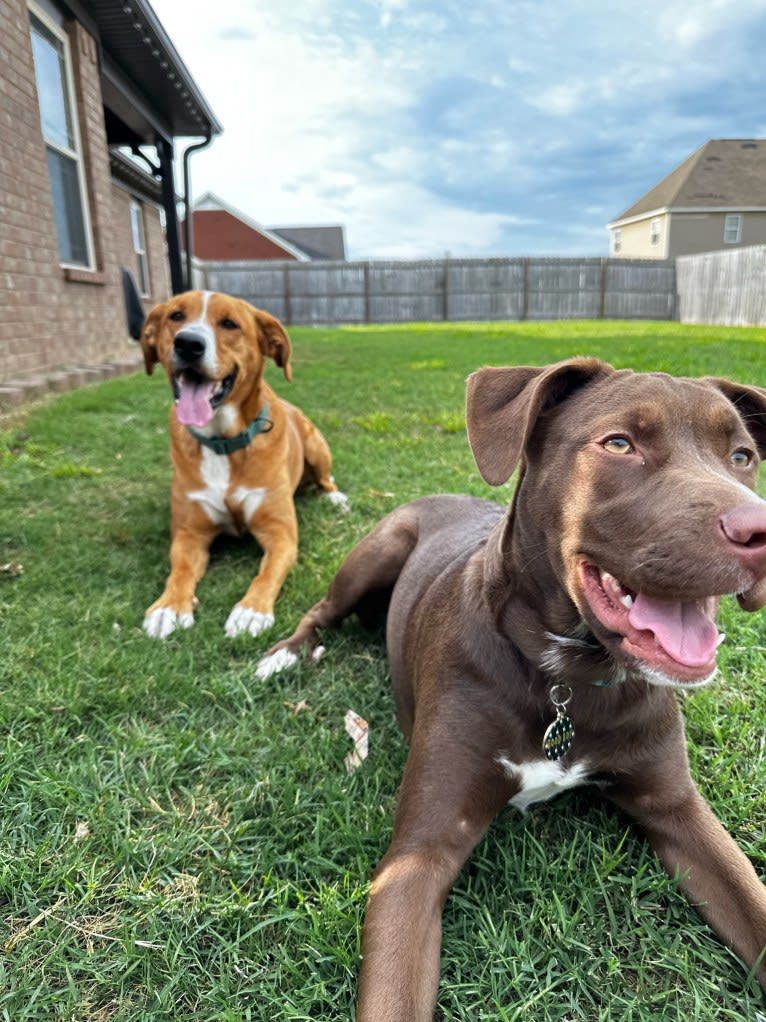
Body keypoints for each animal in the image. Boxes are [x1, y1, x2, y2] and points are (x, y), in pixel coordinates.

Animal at [139, 290, 349, 637]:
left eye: (229, 324)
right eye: (176, 316)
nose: (188, 343)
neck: (223, 443)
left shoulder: (281, 535)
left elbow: (266, 574)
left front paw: (251, 610)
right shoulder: (189, 534)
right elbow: (179, 571)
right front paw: (169, 606)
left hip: (316, 446)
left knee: (326, 479)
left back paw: (335, 498)